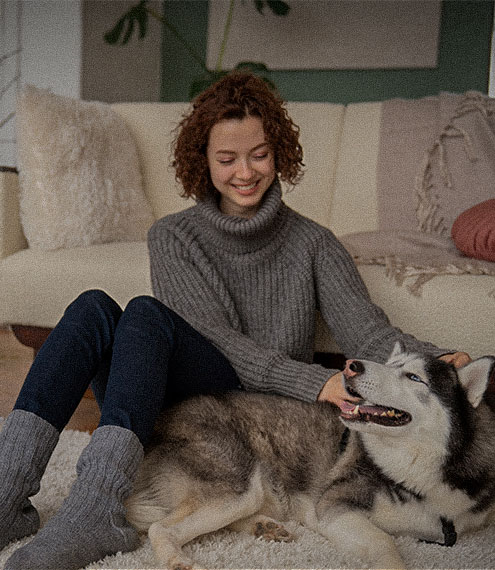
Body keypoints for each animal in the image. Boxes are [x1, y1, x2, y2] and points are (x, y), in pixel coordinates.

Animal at [127, 344, 495, 564]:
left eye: (413, 376)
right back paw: (178, 560)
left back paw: (265, 527)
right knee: (160, 528)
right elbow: (386, 544)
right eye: (390, 364)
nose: (351, 366)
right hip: (241, 486)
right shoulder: (333, 509)